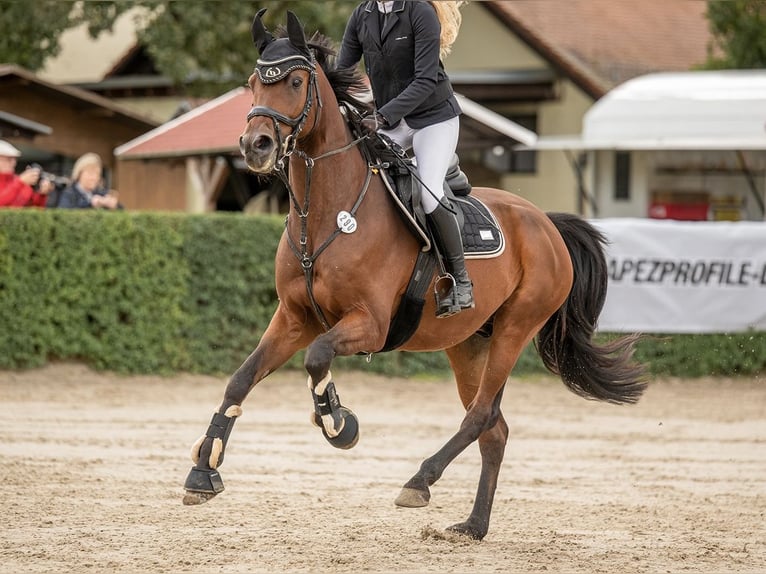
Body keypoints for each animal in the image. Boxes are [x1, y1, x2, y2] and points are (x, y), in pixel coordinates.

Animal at [184, 11, 648, 544]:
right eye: (253, 82)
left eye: (296, 82)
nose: (255, 145)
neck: (325, 213)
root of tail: (546, 222)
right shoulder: (294, 318)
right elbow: (241, 379)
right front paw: (204, 470)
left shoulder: (369, 324)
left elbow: (317, 358)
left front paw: (338, 422)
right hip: (468, 344)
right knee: (494, 428)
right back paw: (473, 525)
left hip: (515, 329)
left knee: (481, 415)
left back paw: (419, 481)